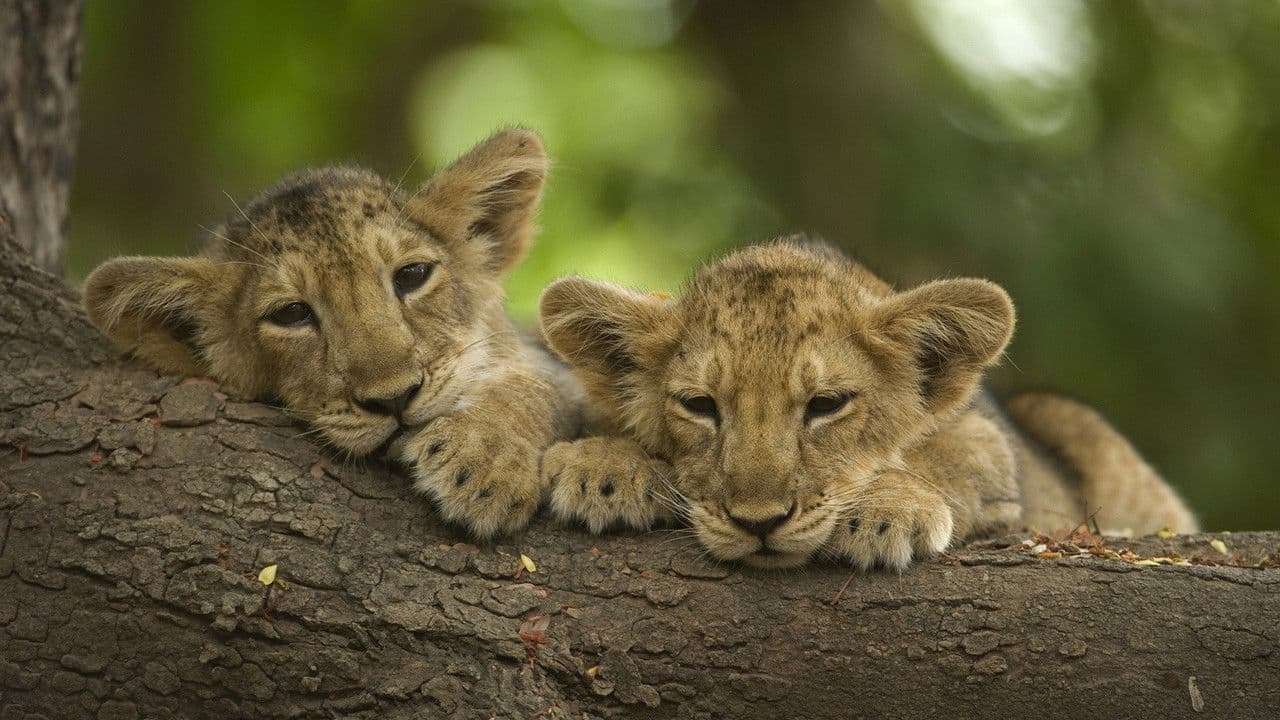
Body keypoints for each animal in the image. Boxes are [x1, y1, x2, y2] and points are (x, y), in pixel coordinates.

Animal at [537, 239, 1197, 569]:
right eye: (700, 405)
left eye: (826, 405)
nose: (759, 524)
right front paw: (607, 467)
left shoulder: (991, 448)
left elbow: (944, 457)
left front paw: (883, 511)